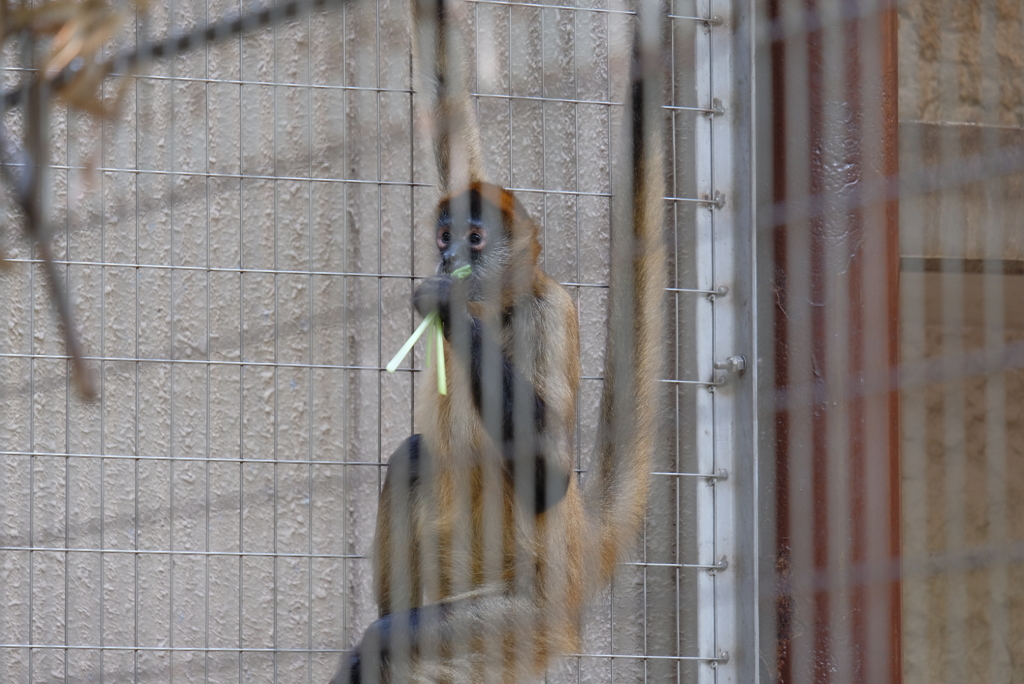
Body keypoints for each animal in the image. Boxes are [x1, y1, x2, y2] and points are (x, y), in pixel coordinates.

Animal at [335, 0, 667, 679]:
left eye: (476, 239)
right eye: (445, 235)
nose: (449, 259)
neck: (502, 307)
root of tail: (577, 539)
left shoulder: (550, 309)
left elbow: (549, 473)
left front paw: (450, 306)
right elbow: (446, 94)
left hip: (517, 623)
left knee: (391, 639)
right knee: (413, 455)